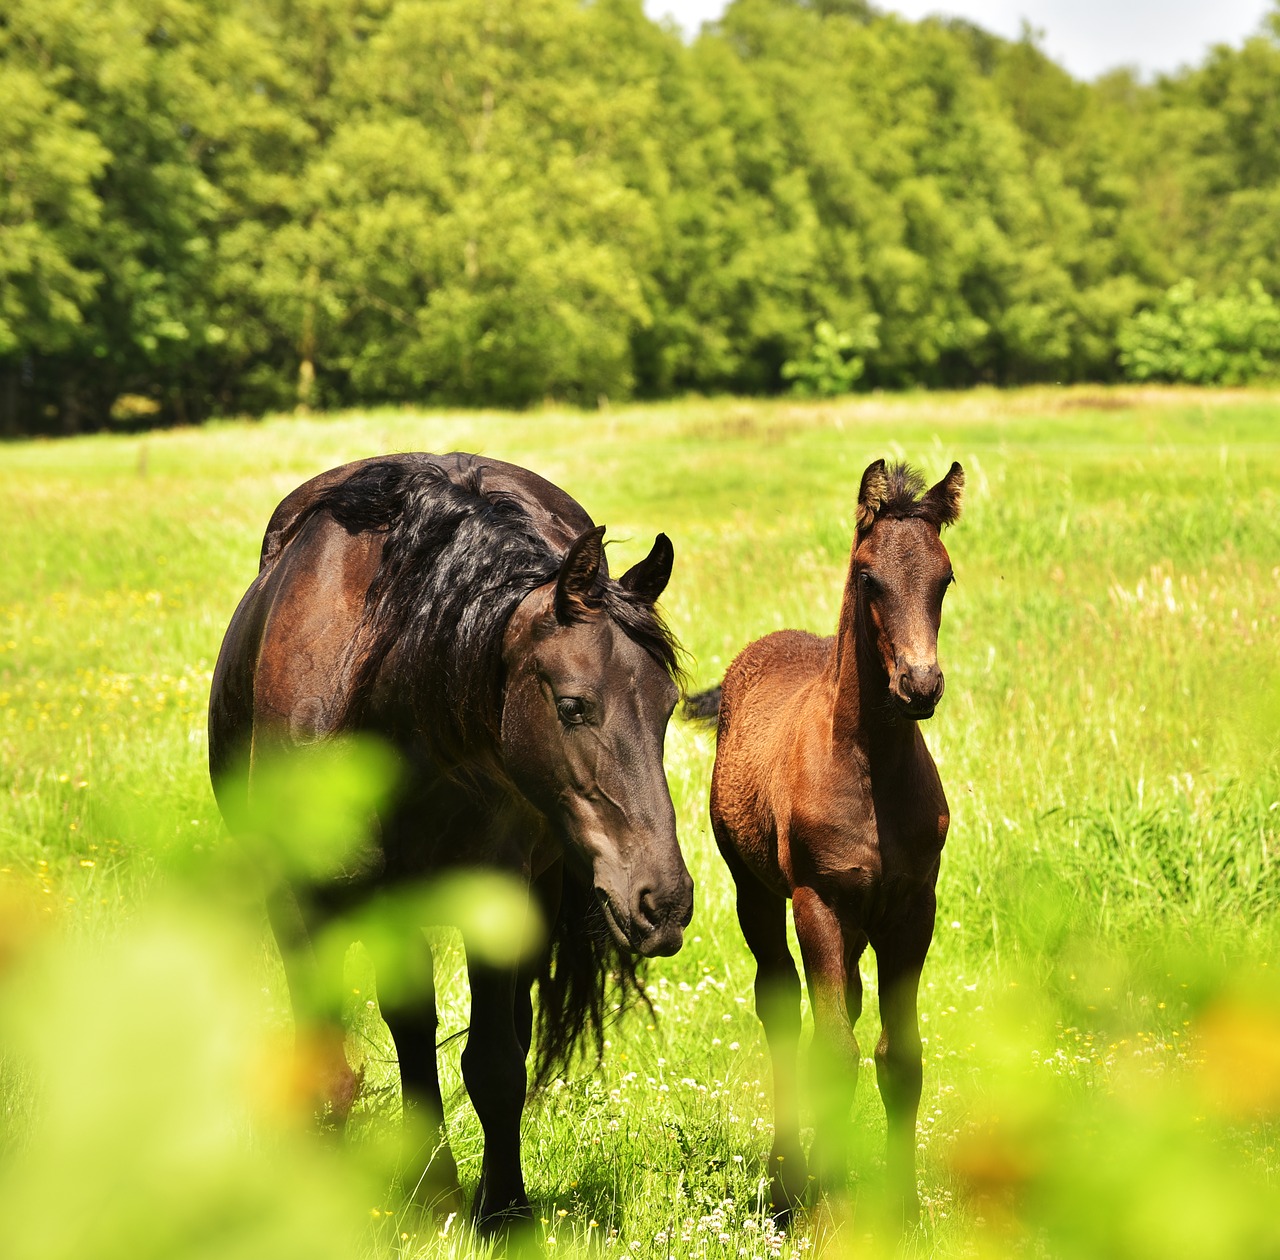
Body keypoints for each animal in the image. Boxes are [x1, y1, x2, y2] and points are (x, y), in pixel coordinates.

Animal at [208, 452, 694, 1233]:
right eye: (572, 706)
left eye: (669, 706)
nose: (664, 902)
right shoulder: (307, 908)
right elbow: (338, 1064)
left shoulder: (497, 901)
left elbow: (494, 1066)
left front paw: (506, 1215)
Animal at [694, 458, 963, 1227]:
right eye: (868, 577)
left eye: (944, 578)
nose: (920, 684)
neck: (869, 767)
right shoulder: (820, 901)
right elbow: (833, 1053)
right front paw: (824, 1204)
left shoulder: (912, 906)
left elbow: (900, 1055)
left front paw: (903, 1207)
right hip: (755, 892)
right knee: (781, 1005)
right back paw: (787, 1177)